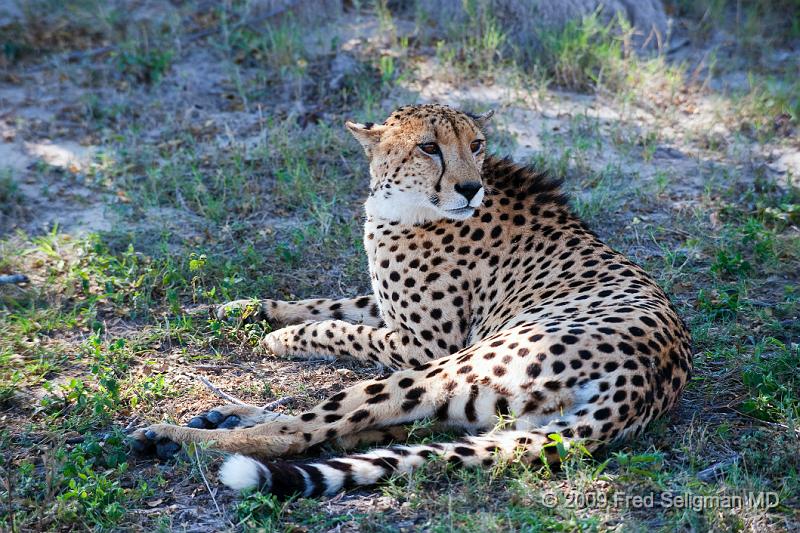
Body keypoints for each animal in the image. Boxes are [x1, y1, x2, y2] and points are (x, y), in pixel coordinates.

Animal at [130, 103, 692, 498]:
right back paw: (226, 415)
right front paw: (234, 309)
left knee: (301, 429)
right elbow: (332, 304)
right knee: (377, 427)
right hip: (487, 410)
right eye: (428, 147)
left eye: (476, 144)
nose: (469, 187)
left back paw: (176, 435)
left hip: (445, 368)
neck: (403, 202)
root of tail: (646, 382)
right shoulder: (390, 311)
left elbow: (341, 328)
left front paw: (281, 337)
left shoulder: (426, 344)